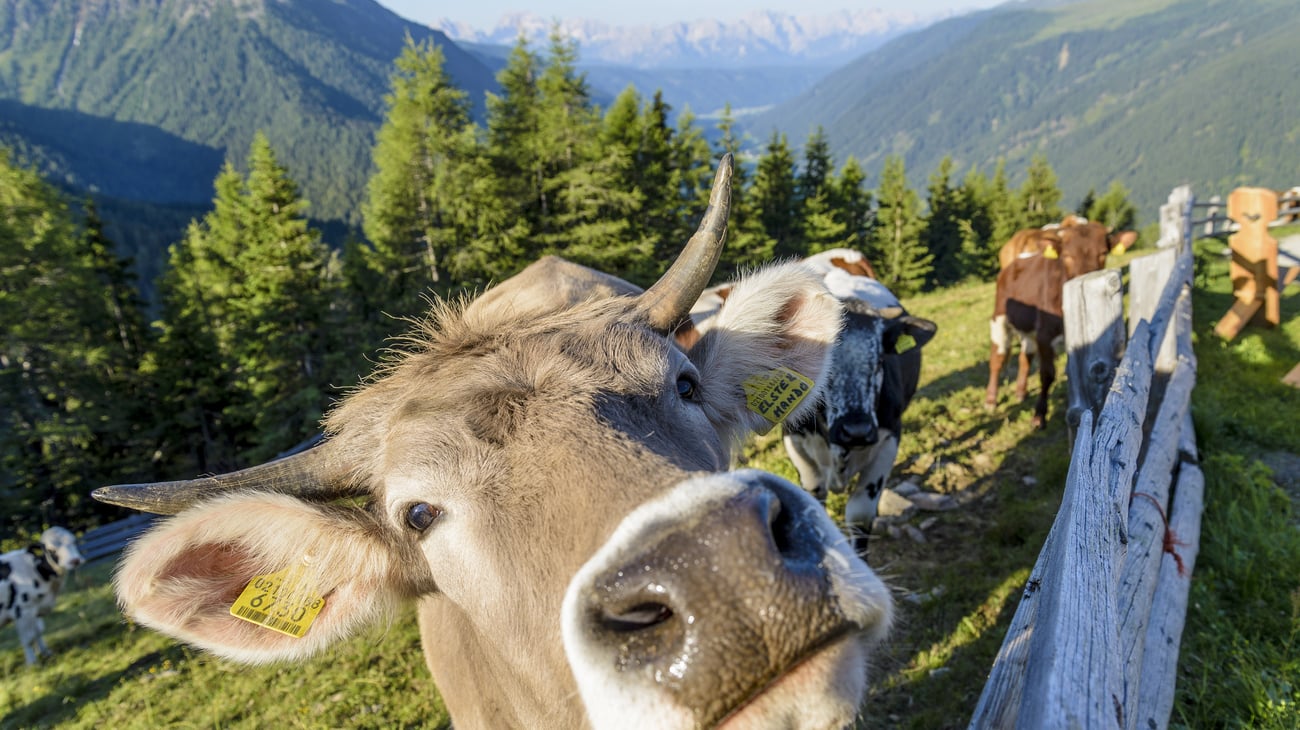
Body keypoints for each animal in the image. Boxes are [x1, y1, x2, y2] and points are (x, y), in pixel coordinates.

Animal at [0, 524, 83, 662]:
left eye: (74, 542)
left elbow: (38, 631)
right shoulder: (22, 610)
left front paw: (45, 652)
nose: (75, 561)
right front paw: (32, 662)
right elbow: (28, 639)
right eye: (51, 550)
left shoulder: (36, 607)